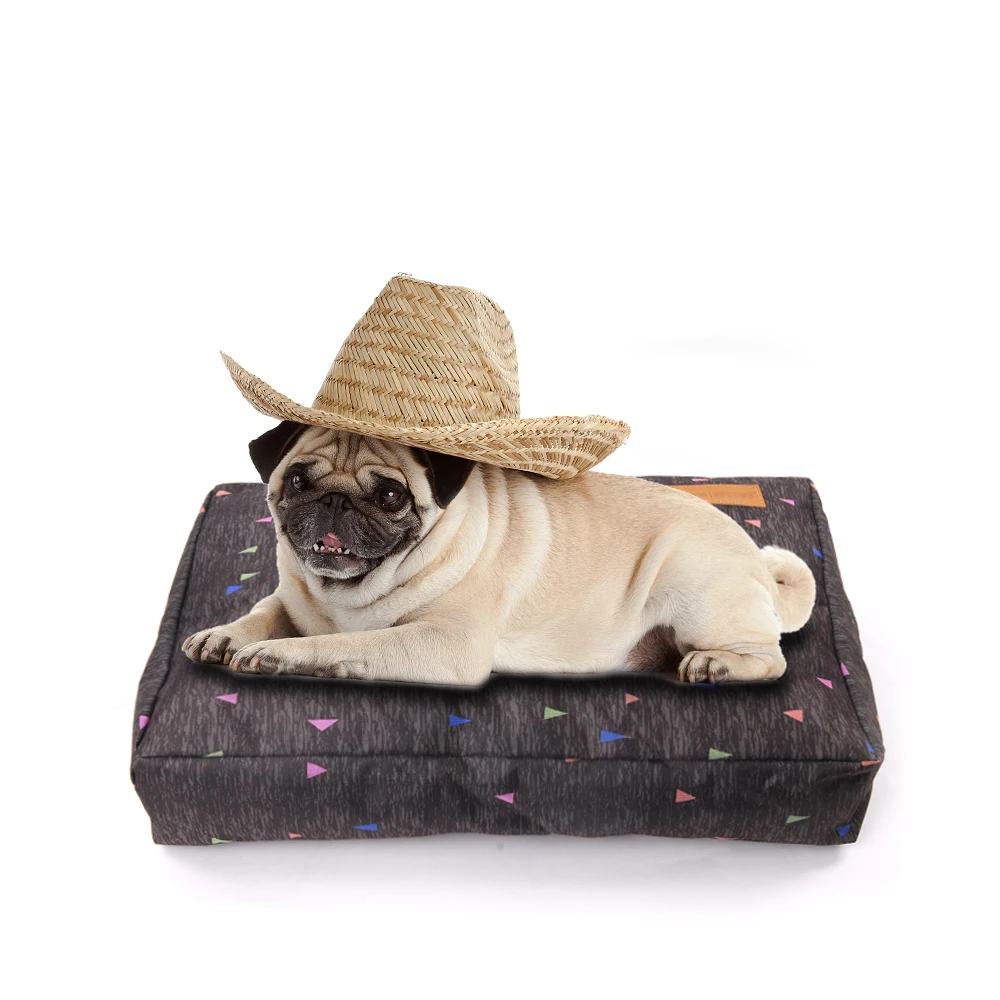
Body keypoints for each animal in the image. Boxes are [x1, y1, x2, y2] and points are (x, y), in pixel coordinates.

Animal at [183, 423, 816, 686]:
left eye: (390, 496)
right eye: (297, 481)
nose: (335, 501)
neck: (349, 594)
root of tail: (759, 564)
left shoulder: (445, 643)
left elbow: (344, 644)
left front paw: (280, 654)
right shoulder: (291, 596)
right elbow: (263, 611)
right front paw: (226, 635)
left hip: (695, 585)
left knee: (771, 659)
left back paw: (717, 665)